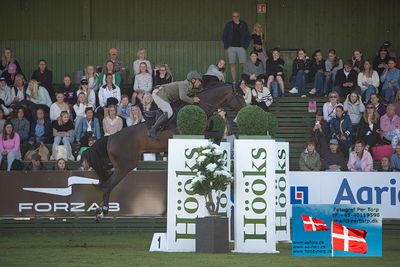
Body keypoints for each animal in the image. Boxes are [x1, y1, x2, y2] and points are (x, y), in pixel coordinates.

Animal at [85, 84, 244, 222]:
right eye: (240, 96)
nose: (243, 111)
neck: (198, 106)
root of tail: (110, 138)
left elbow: (215, 131)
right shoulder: (192, 132)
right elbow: (216, 133)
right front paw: (215, 146)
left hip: (121, 166)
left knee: (107, 183)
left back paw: (99, 210)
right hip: (125, 166)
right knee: (108, 185)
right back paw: (103, 211)